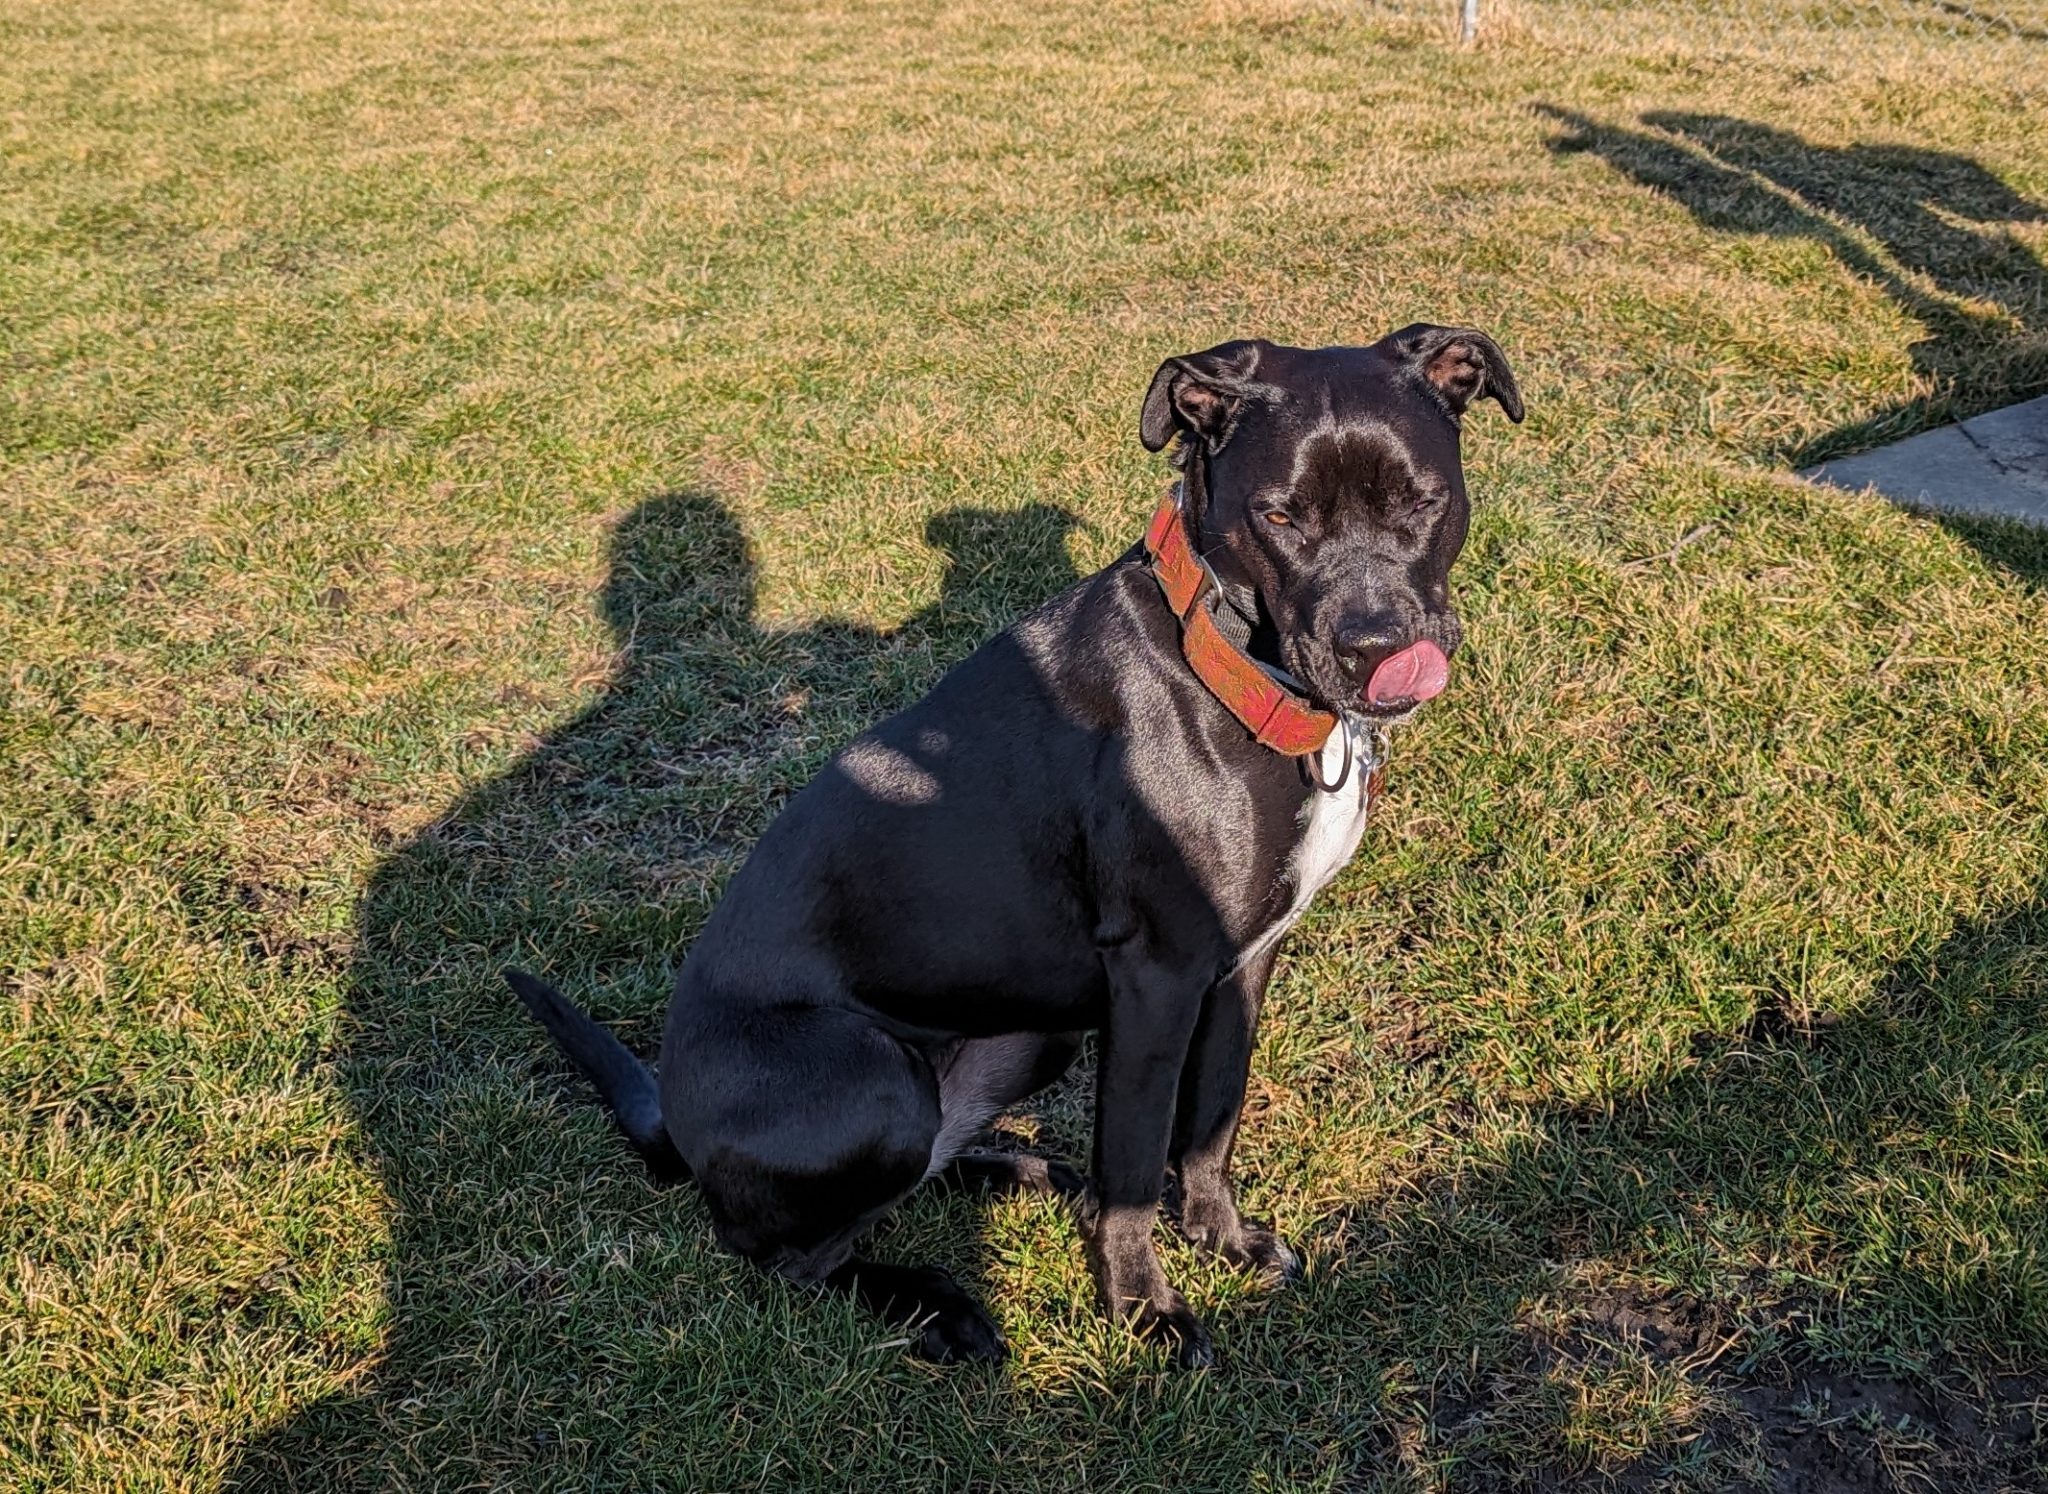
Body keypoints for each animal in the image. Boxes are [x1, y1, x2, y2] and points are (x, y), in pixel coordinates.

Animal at [508, 325, 1522, 1366]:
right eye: (1279, 515)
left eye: (1422, 501)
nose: (1378, 649)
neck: (1230, 665)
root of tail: (676, 1125)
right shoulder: (1155, 981)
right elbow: (1133, 1165)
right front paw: (1142, 1308)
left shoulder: (1244, 963)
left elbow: (1212, 1118)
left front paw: (1222, 1240)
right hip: (878, 1079)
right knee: (792, 1256)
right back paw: (939, 1304)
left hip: (1034, 1037)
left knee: (914, 1175)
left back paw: (1016, 1174)